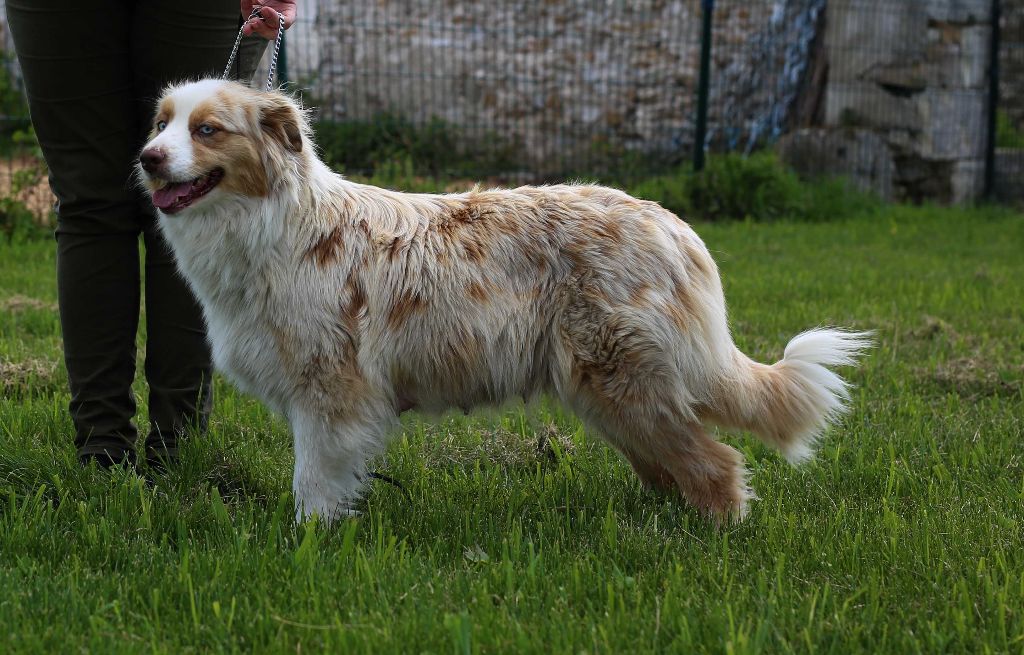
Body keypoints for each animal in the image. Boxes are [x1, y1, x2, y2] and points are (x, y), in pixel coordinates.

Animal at [136, 80, 872, 521]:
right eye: (162, 123)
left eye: (208, 130)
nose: (147, 158)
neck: (276, 223)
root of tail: (675, 227)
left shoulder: (332, 392)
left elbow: (313, 483)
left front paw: (309, 545)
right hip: (609, 393)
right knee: (672, 465)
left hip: (625, 384)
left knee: (717, 465)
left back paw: (718, 535)